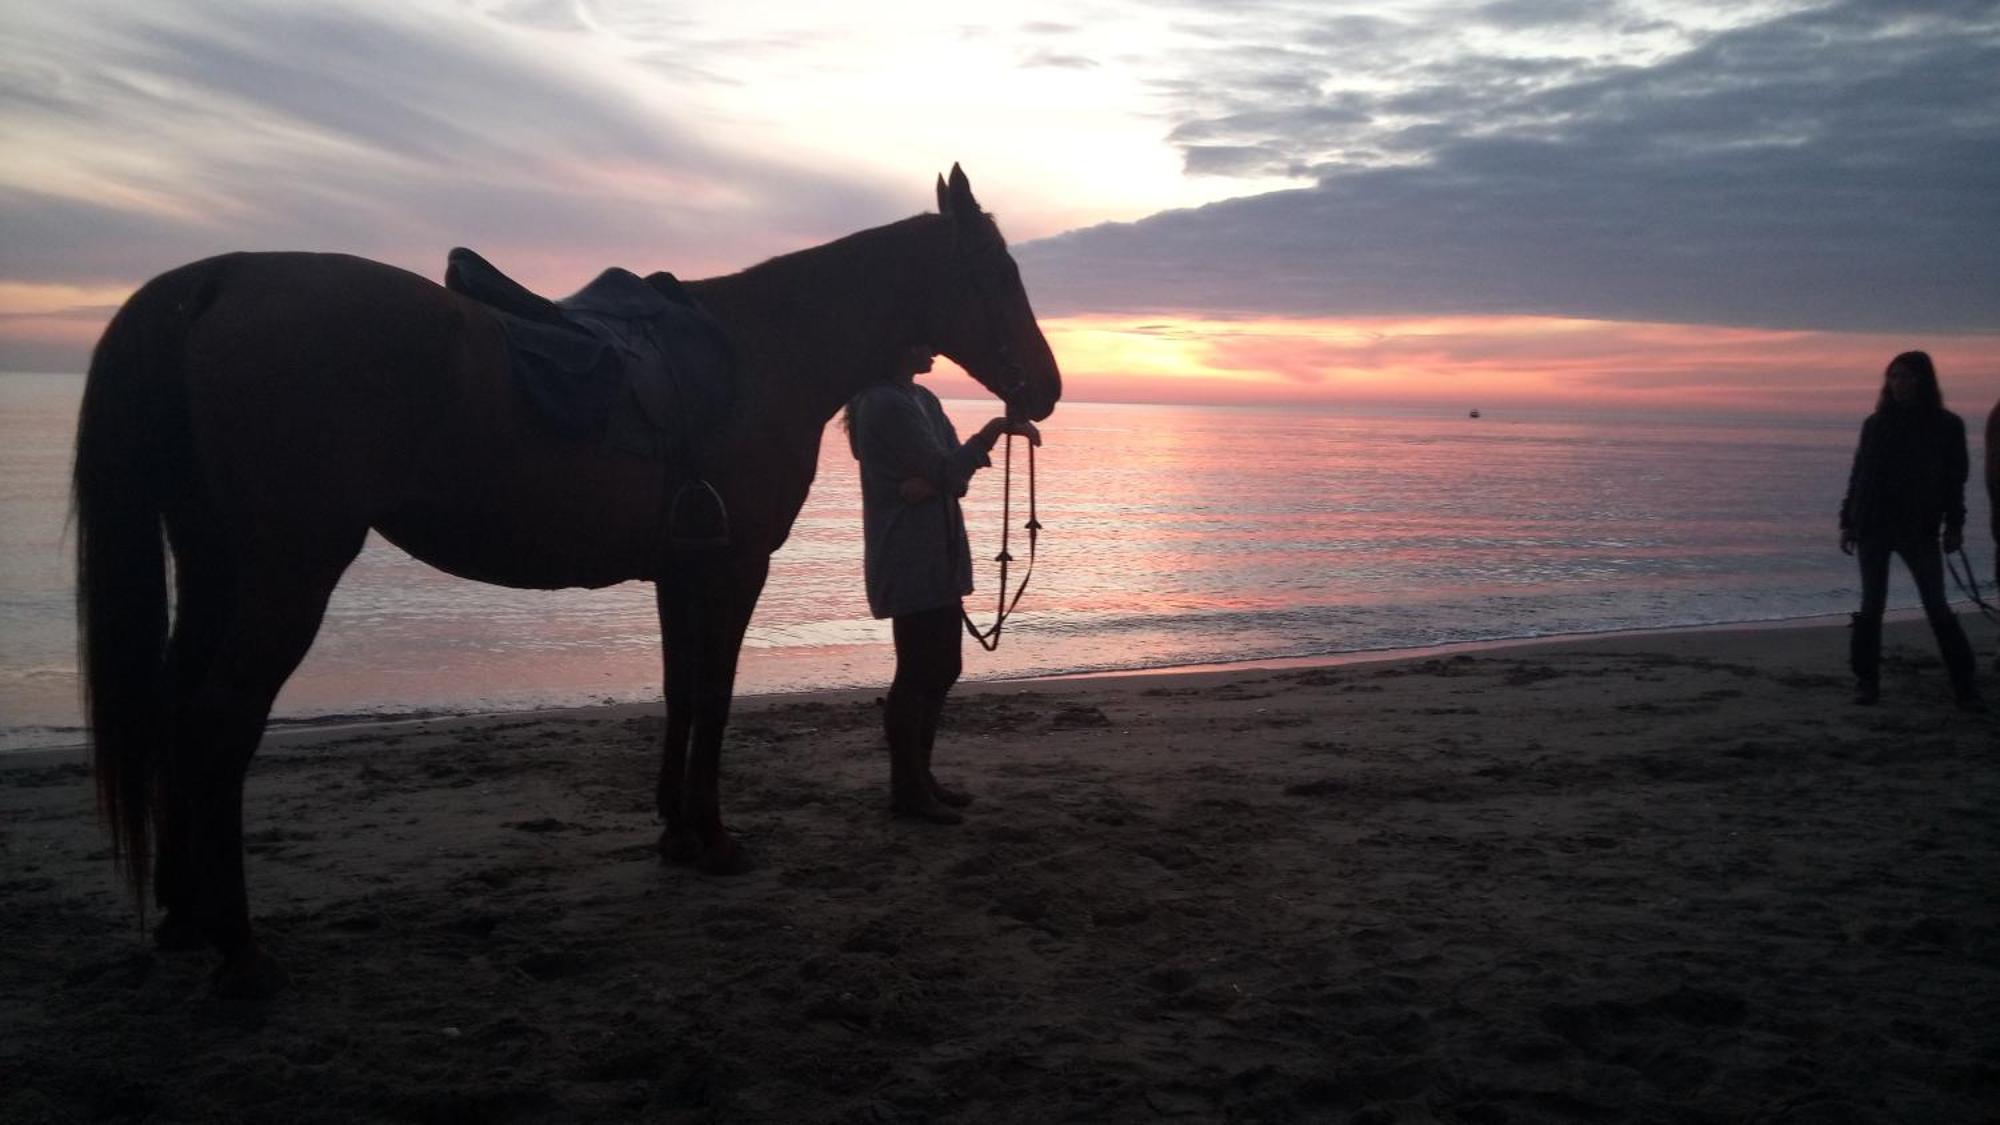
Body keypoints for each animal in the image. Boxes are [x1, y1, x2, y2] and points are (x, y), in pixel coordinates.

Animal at [74, 162, 1064, 984]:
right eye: (998, 274)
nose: (1048, 388)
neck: (764, 353)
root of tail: (218, 279)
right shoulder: (733, 566)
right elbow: (715, 698)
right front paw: (713, 837)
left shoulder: (681, 568)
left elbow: (679, 695)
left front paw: (676, 830)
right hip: (287, 575)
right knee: (217, 724)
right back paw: (239, 942)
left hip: (215, 567)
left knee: (177, 708)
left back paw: (185, 913)